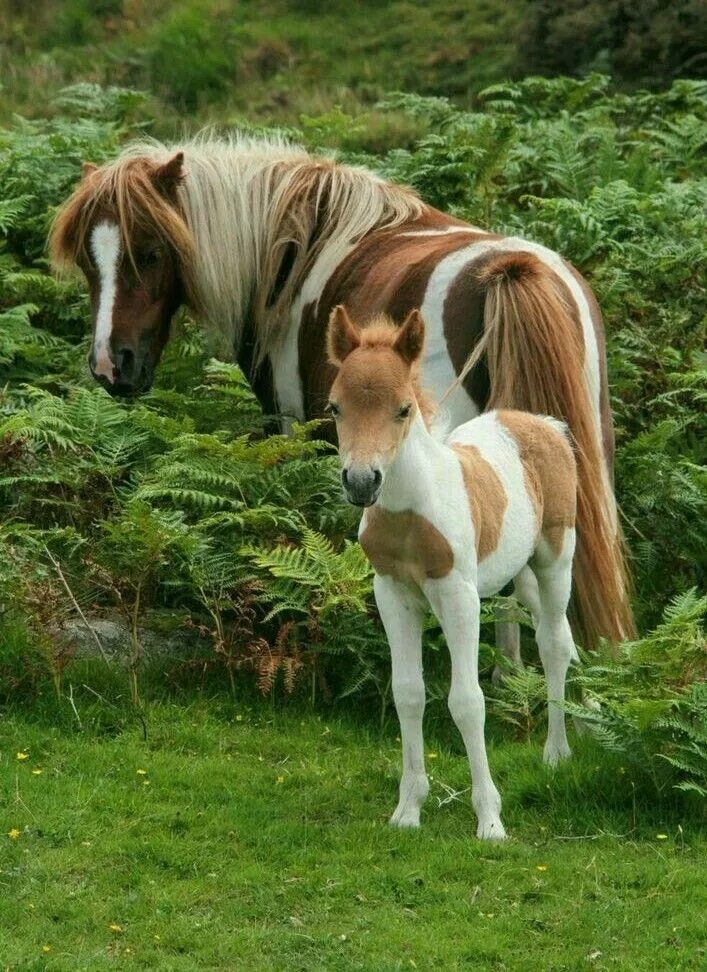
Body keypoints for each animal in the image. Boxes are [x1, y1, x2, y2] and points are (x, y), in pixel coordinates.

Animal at [51, 129, 636, 648]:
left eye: (150, 252)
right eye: (87, 261)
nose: (110, 365)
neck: (292, 248)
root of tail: (513, 272)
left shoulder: (293, 430)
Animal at [330, 308, 580, 840]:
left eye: (403, 409)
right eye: (335, 407)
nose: (361, 483)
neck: (410, 512)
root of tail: (542, 422)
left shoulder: (459, 596)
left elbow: (467, 700)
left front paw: (490, 821)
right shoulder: (392, 594)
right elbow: (408, 693)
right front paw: (408, 810)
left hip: (556, 559)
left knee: (553, 644)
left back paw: (556, 752)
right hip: (517, 573)